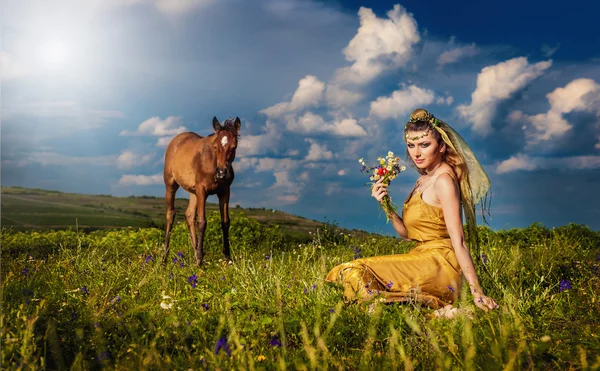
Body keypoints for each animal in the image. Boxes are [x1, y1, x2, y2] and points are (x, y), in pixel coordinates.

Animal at [164, 117, 241, 266]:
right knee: (170, 214)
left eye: (234, 147)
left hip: (193, 192)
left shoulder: (225, 192)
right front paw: (200, 259)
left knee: (189, 215)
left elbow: (225, 222)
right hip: (171, 184)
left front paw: (227, 257)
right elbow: (202, 222)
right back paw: (164, 257)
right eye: (215, 147)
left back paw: (195, 251)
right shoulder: (202, 190)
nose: (222, 173)